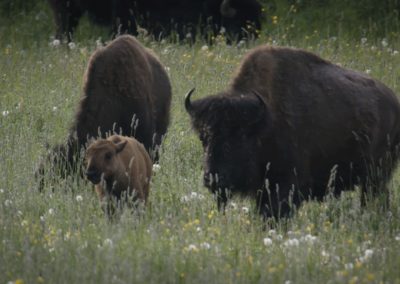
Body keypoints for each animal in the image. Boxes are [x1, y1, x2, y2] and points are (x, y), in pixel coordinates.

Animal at [186, 45, 400, 220]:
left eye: (239, 136)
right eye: (203, 137)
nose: (212, 179)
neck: (265, 121)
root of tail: (393, 101)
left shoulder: (287, 184)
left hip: (376, 175)